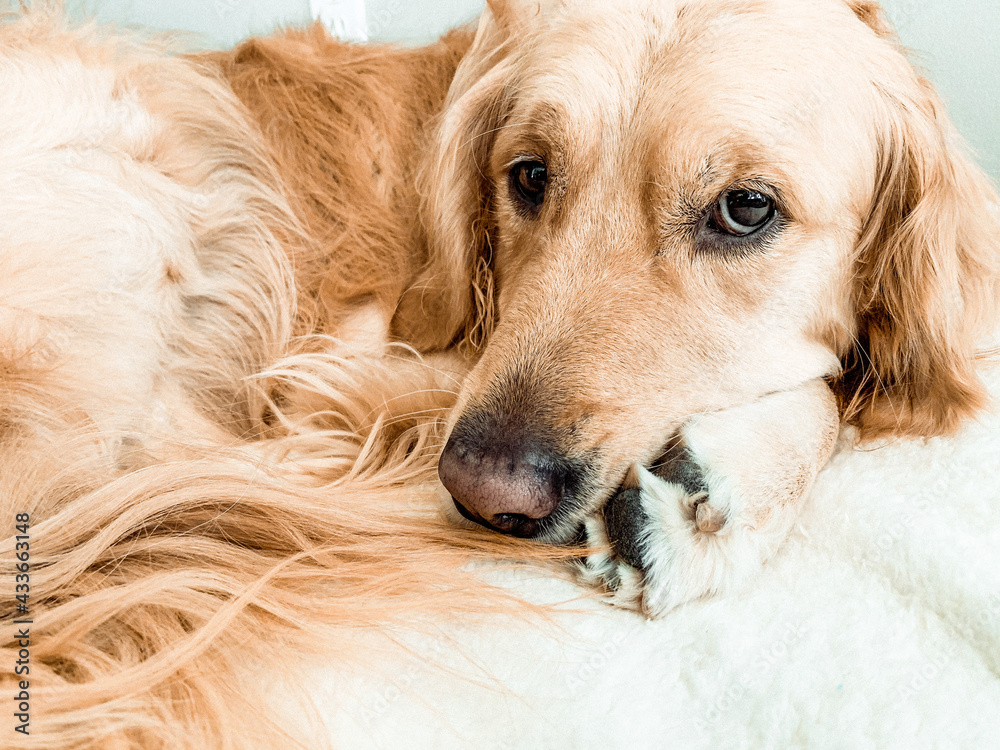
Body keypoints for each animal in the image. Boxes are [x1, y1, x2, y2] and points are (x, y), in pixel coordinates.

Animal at [0, 0, 996, 748]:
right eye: (528, 176)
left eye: (747, 208)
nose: (486, 496)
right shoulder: (354, 365)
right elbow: (833, 390)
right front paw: (716, 490)